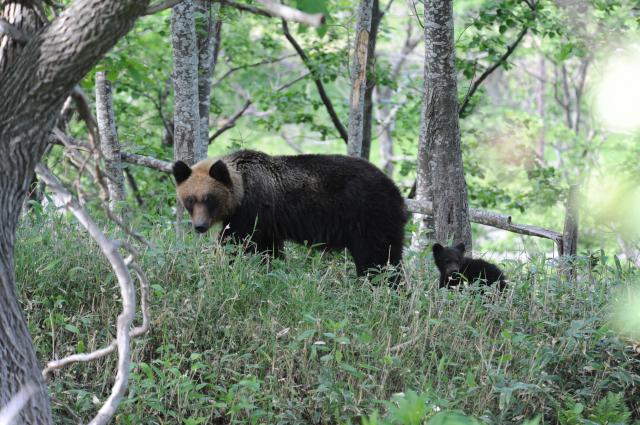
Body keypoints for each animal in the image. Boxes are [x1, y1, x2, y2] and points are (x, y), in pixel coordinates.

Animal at [172, 150, 408, 278]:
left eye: (209, 199)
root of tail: (397, 192)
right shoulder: (267, 224)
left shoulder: (252, 211)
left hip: (369, 217)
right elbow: (269, 252)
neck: (241, 191)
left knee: (376, 259)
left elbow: (236, 242)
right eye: (190, 199)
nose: (200, 226)